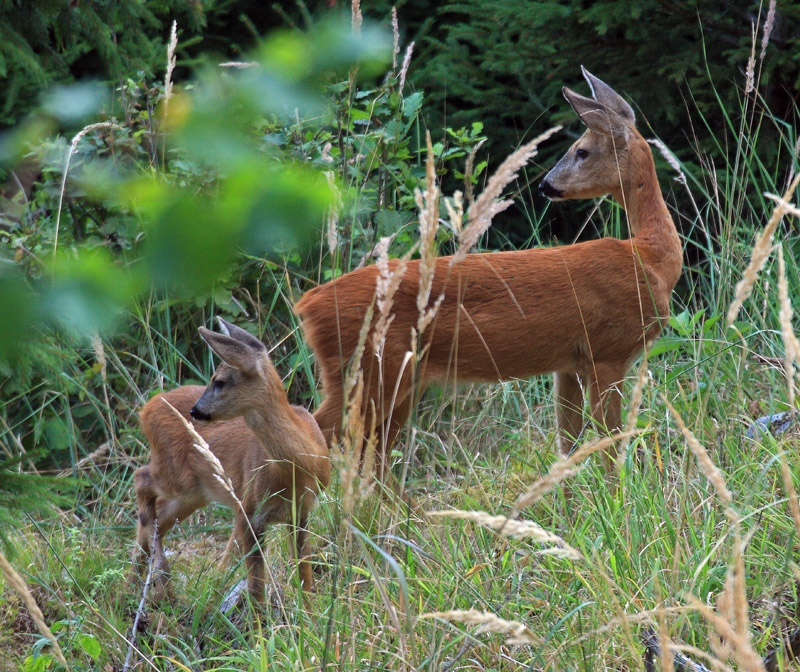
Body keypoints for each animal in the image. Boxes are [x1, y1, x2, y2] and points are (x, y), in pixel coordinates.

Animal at [133, 318, 330, 600]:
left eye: (220, 381)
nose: (195, 410)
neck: (299, 467)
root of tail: (146, 409)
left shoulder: (301, 512)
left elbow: (305, 575)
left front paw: (310, 610)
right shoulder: (249, 509)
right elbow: (256, 585)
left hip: (196, 492)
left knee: (158, 513)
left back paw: (138, 582)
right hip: (176, 474)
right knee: (141, 479)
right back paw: (162, 577)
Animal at [294, 67, 680, 468]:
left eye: (582, 151)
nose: (545, 185)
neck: (651, 260)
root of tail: (307, 304)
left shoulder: (569, 363)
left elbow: (568, 446)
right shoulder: (608, 351)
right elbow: (610, 447)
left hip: (396, 380)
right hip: (366, 368)